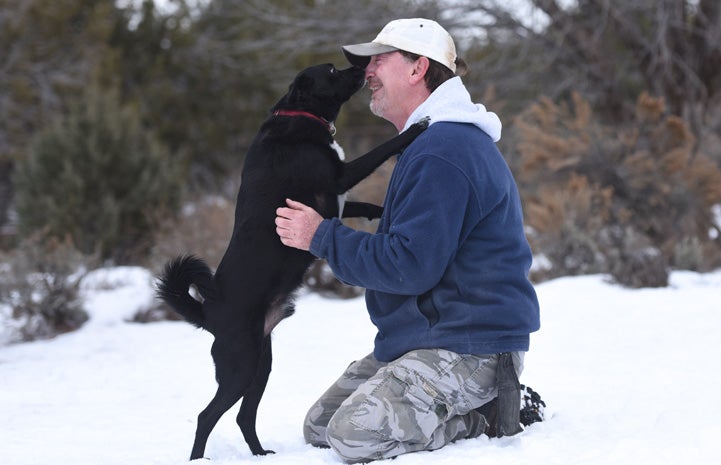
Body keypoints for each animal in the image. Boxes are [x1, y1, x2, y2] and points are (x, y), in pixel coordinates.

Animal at [156, 63, 428, 458]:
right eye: (331, 70)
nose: (361, 67)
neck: (299, 115)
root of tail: (208, 313)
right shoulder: (341, 176)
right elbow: (381, 150)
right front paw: (415, 129)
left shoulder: (338, 199)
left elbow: (365, 206)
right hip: (240, 367)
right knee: (207, 416)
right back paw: (199, 459)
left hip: (261, 364)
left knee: (243, 416)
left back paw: (260, 453)